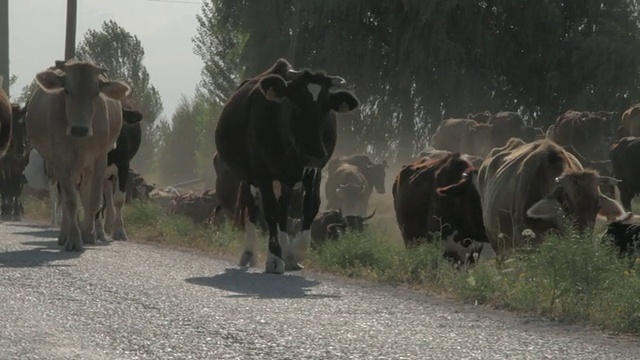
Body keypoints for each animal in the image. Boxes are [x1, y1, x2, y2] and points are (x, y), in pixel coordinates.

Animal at [26, 59, 132, 250]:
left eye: (96, 92)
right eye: (67, 90)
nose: (79, 129)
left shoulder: (99, 159)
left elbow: (94, 199)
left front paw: (89, 233)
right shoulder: (59, 161)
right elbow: (70, 201)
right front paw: (75, 239)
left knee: (86, 194)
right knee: (68, 199)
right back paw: (65, 234)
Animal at [214, 58, 358, 272]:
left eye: (326, 109)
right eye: (296, 105)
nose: (314, 153)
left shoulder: (313, 171)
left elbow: (311, 206)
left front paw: (294, 253)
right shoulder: (263, 174)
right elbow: (270, 211)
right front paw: (274, 258)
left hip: (286, 180)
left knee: (283, 209)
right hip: (248, 177)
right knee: (253, 207)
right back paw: (249, 253)